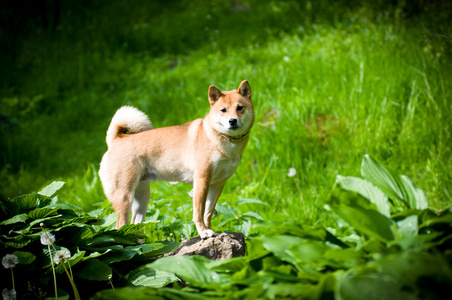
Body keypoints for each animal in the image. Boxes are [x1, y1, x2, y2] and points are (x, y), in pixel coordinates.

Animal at [99, 79, 254, 239]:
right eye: (223, 110)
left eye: (240, 108)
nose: (232, 121)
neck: (224, 141)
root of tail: (117, 139)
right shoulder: (202, 180)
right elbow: (199, 213)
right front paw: (203, 232)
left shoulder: (217, 184)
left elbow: (208, 213)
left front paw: (210, 231)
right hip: (124, 196)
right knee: (120, 226)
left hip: (142, 198)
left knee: (135, 223)